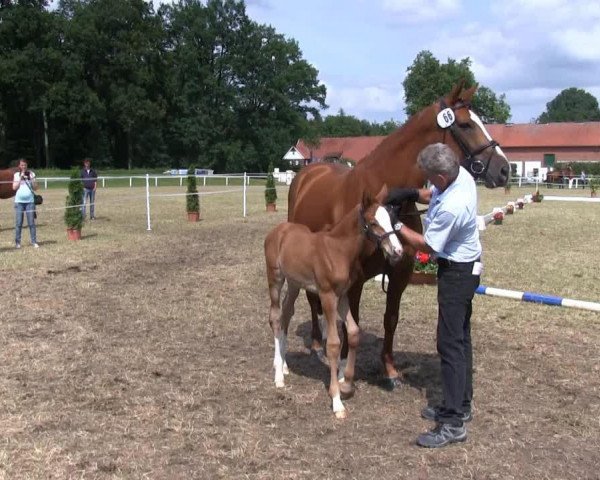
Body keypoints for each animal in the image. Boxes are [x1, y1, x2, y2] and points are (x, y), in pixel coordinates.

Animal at [264, 189, 400, 418]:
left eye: (391, 220)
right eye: (373, 223)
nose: (398, 251)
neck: (338, 250)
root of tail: (277, 230)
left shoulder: (343, 296)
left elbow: (353, 332)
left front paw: (347, 382)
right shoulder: (327, 296)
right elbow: (334, 344)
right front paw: (337, 401)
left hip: (294, 284)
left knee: (286, 315)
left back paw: (283, 366)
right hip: (275, 278)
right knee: (275, 317)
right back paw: (278, 376)